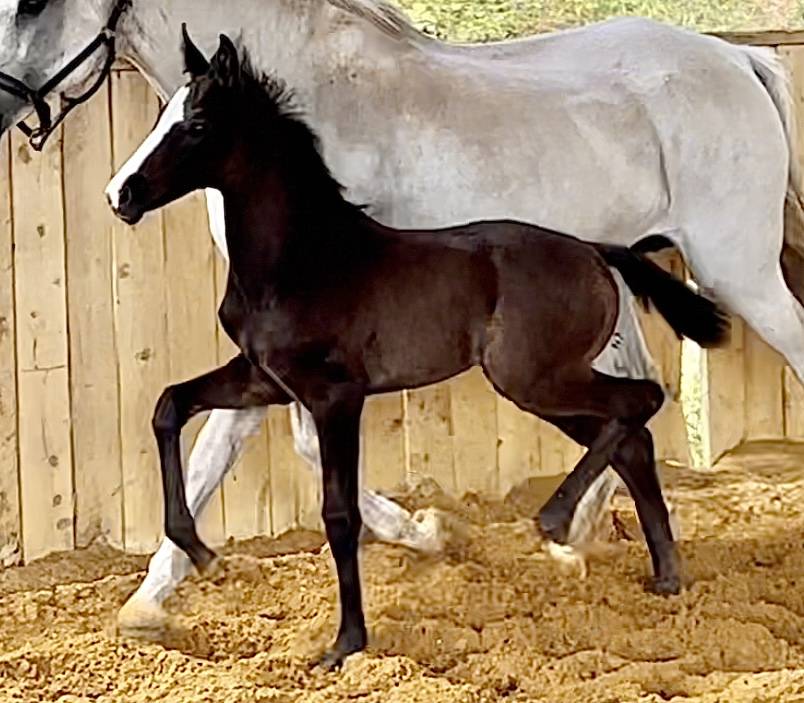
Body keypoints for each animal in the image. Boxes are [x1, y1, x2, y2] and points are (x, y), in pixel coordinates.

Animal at [0, 0, 800, 633]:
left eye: (34, 4)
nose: (119, 194)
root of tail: (740, 55)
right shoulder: (272, 360)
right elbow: (216, 443)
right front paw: (151, 597)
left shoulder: (316, 363)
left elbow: (272, 446)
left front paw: (426, 531)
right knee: (635, 404)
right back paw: (577, 540)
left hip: (737, 270)